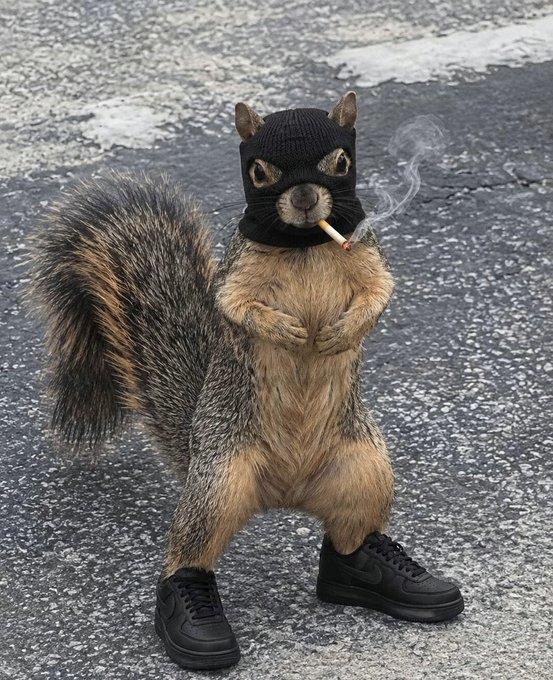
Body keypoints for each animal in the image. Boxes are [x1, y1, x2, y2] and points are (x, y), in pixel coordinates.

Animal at [30, 92, 464, 671]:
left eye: (340, 162)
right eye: (260, 171)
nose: (303, 199)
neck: (304, 245)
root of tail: (285, 493)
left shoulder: (368, 254)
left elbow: (379, 294)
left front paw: (340, 331)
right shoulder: (237, 273)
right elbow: (235, 306)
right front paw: (288, 330)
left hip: (366, 471)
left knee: (349, 541)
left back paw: (391, 578)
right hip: (218, 485)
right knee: (189, 554)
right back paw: (194, 621)